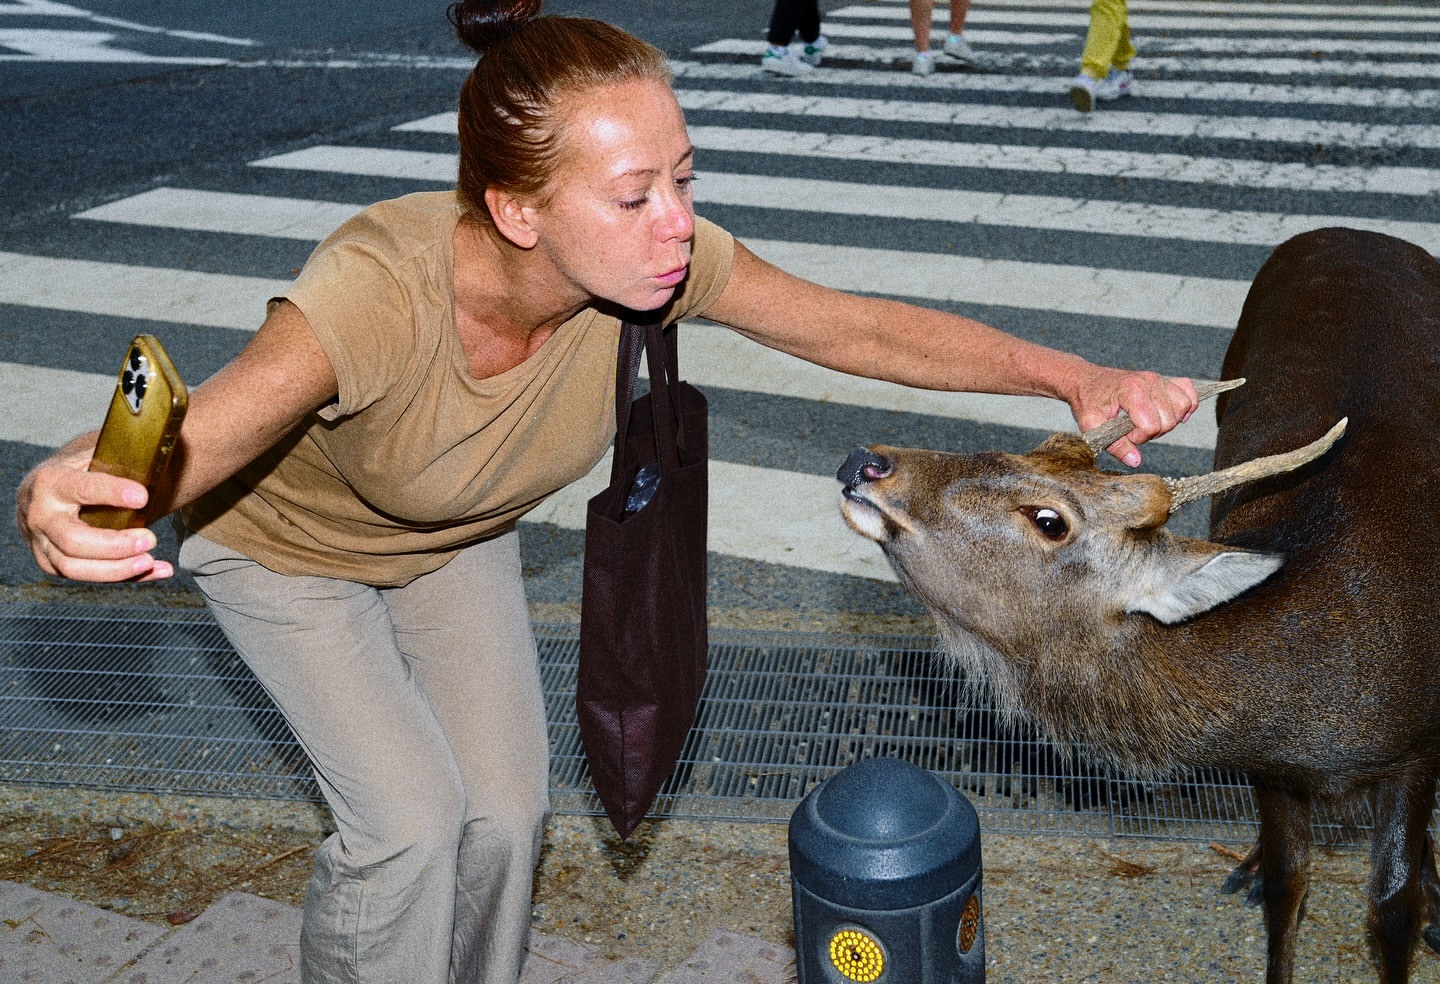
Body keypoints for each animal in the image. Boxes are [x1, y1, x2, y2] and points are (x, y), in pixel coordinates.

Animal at [835, 227, 1440, 983]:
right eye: (1040, 443)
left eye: (1049, 518)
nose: (866, 460)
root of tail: (1355, 231)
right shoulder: (1274, 770)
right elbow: (1287, 883)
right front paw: (1262, 878)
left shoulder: (1414, 753)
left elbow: (1393, 907)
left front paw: (1423, 906)